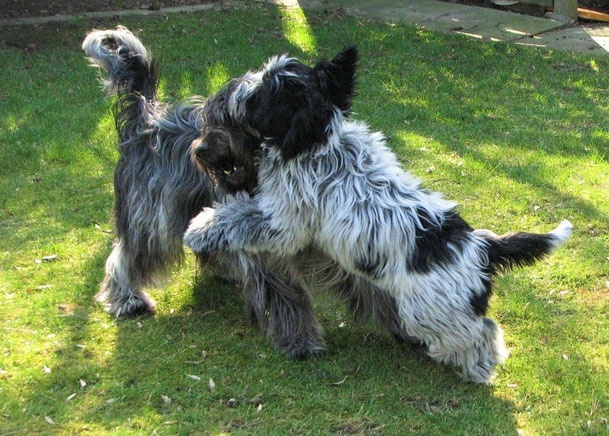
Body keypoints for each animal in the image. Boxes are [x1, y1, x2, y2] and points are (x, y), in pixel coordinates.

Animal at [183, 46, 572, 384]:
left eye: (263, 93)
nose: (236, 91)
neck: (315, 142)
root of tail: (481, 246)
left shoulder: (284, 222)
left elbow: (238, 218)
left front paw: (200, 228)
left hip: (432, 313)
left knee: (482, 332)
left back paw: (479, 368)